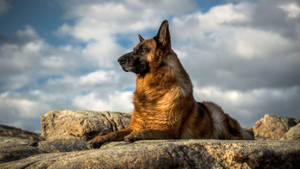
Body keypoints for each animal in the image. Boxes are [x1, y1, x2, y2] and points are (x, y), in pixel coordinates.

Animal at [88, 20, 251, 149]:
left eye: (142, 49)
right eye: (134, 49)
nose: (118, 60)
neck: (153, 91)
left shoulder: (169, 130)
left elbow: (149, 131)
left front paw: (136, 135)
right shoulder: (133, 126)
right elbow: (114, 132)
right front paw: (98, 138)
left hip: (215, 110)